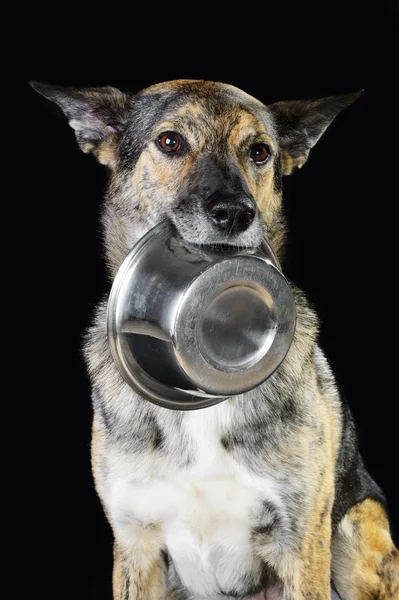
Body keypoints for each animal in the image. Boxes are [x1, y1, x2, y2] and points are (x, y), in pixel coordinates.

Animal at [32, 81, 399, 600]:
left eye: (259, 151)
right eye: (170, 142)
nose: (235, 213)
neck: (198, 404)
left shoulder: (301, 544)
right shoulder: (134, 549)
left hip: (359, 527)